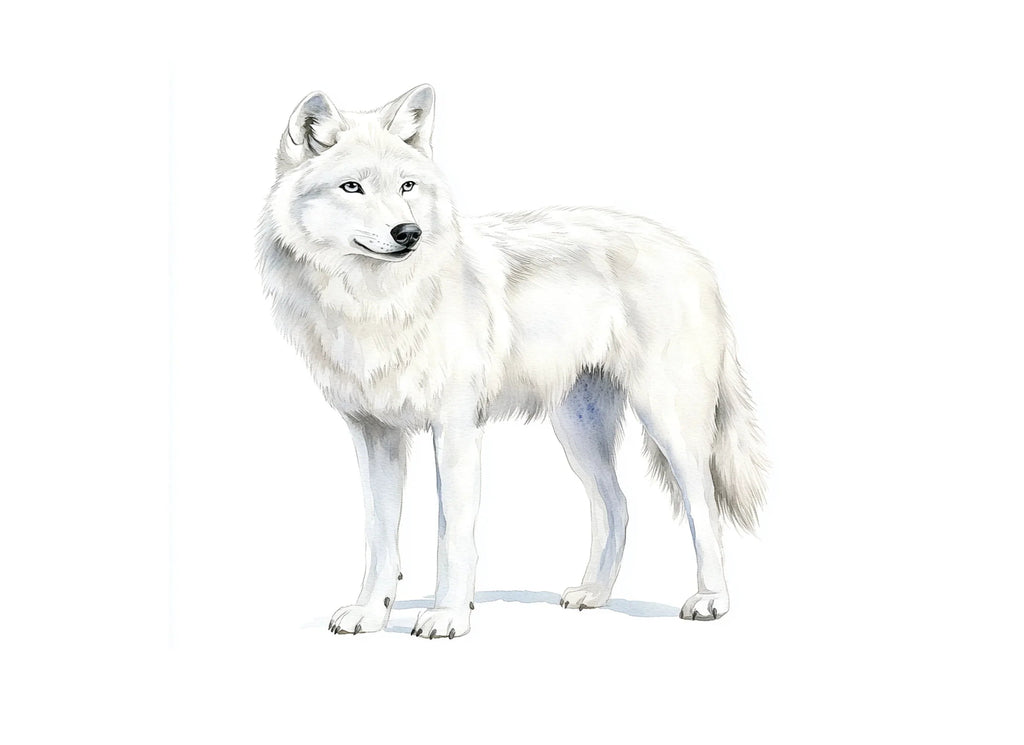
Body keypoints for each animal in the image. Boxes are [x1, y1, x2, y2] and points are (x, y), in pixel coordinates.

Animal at [258, 85, 767, 639]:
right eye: (352, 187)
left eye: (407, 185)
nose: (408, 232)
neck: (378, 302)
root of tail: (694, 256)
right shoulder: (373, 433)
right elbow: (379, 535)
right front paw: (371, 613)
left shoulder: (456, 427)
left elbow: (453, 535)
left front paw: (448, 616)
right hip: (577, 431)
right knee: (617, 505)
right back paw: (594, 594)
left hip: (668, 421)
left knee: (703, 507)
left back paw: (710, 600)